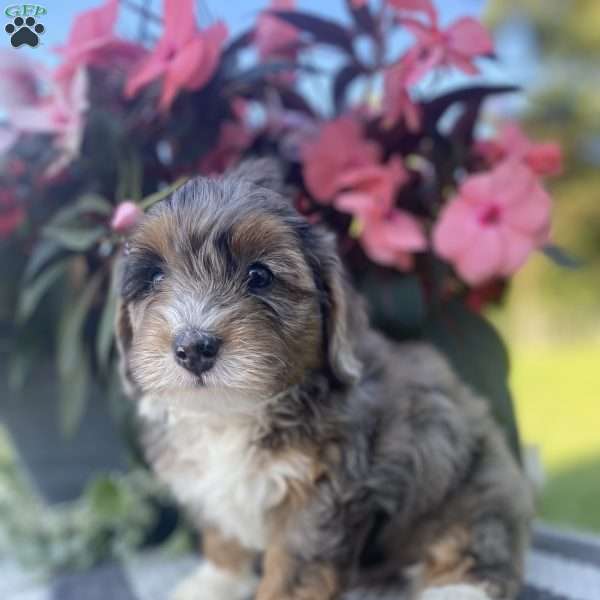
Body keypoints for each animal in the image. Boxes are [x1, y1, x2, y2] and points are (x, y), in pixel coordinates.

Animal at [116, 159, 536, 600]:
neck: (235, 413)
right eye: (155, 277)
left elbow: (294, 568)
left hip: (472, 493)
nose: (194, 347)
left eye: (259, 276)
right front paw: (215, 582)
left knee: (474, 550)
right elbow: (223, 538)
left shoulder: (321, 494)